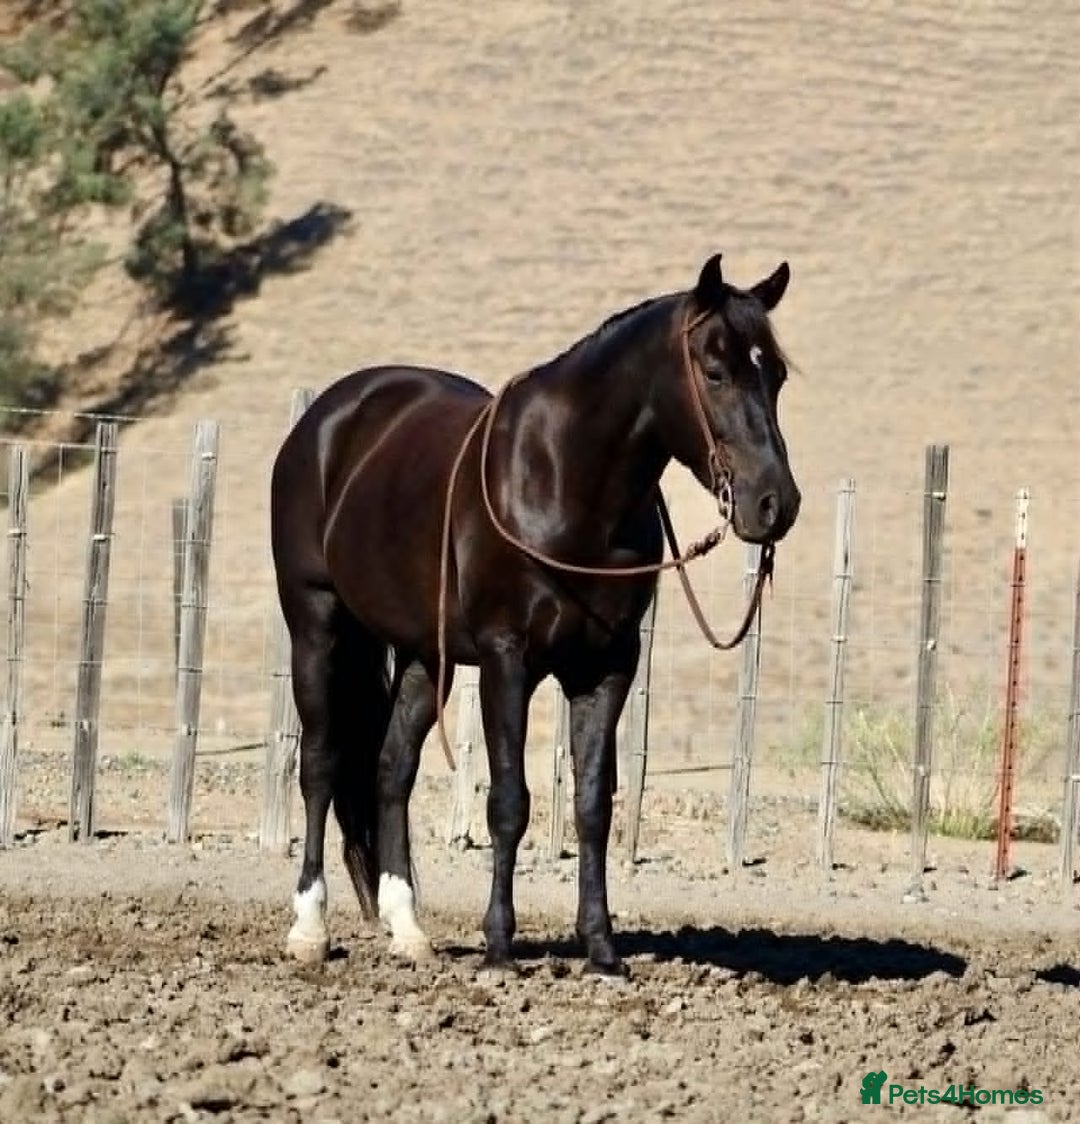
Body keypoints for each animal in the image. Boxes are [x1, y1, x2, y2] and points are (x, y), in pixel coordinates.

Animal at [269, 252, 801, 977]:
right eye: (715, 372)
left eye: (775, 374)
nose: (775, 503)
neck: (566, 478)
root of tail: (325, 420)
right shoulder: (506, 660)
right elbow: (508, 803)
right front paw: (500, 948)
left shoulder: (608, 666)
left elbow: (591, 804)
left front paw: (602, 949)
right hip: (316, 625)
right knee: (321, 763)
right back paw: (309, 929)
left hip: (423, 655)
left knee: (390, 769)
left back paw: (409, 929)